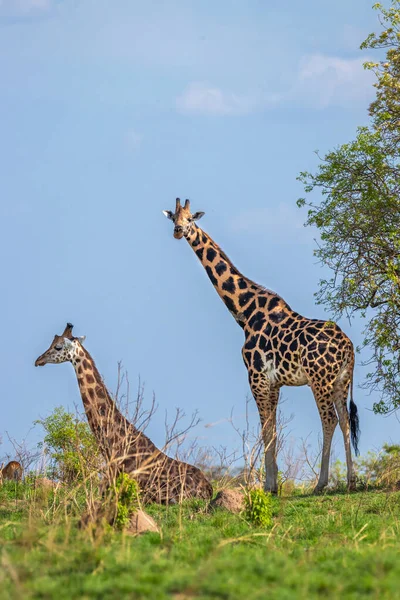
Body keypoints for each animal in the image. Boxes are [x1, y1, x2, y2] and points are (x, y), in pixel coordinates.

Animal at [162, 199, 360, 494]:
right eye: (174, 217)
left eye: (190, 219)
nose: (177, 231)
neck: (244, 313)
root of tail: (348, 346)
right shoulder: (274, 382)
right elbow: (273, 429)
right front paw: (273, 482)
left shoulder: (256, 377)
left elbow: (265, 428)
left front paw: (268, 486)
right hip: (340, 381)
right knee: (346, 421)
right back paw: (350, 481)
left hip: (319, 379)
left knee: (330, 420)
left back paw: (321, 483)